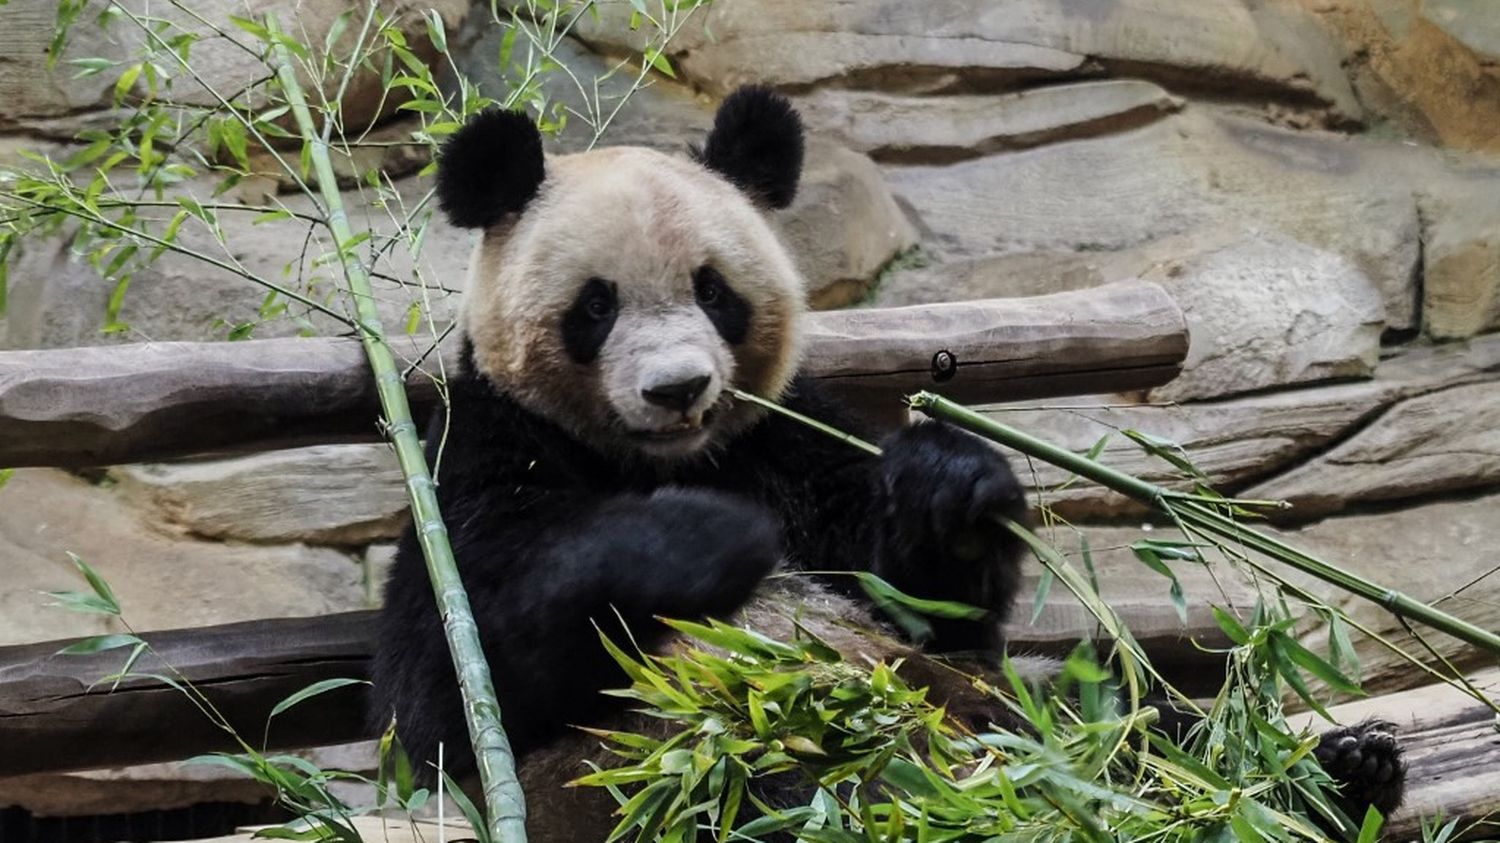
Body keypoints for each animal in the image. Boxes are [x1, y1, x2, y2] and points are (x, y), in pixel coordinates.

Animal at [372, 83, 1404, 834]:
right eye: (596, 304)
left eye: (715, 292)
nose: (678, 389)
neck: (668, 458)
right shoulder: (481, 457)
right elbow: (454, 691)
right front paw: (703, 541)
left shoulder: (786, 435)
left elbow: (916, 586)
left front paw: (949, 484)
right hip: (649, 765)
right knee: (765, 785)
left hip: (1004, 702)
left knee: (1127, 712)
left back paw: (1335, 772)